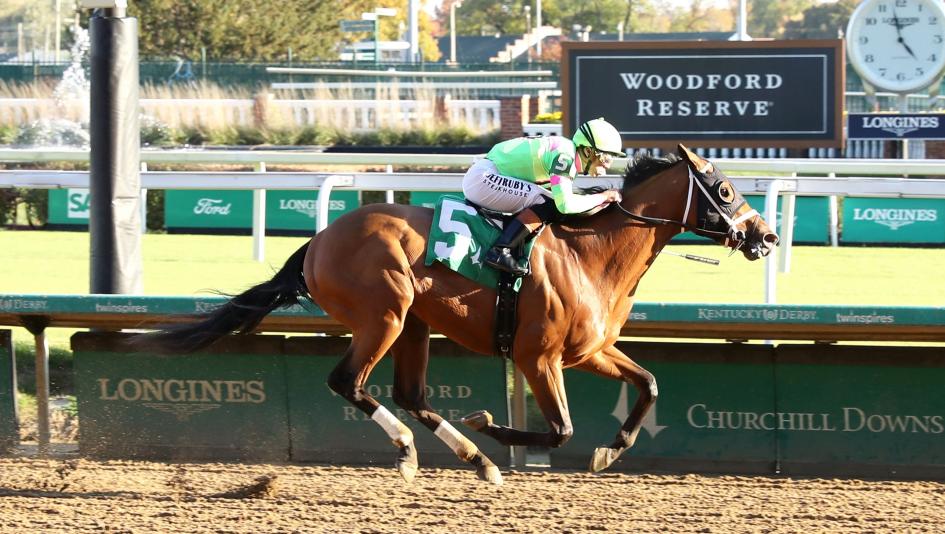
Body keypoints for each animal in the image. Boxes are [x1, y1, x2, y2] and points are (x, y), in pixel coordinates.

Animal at [135, 144, 779, 485]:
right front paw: (492, 425)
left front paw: (609, 449)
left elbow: (647, 384)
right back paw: (414, 451)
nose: (766, 236)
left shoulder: (589, 350)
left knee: (409, 393)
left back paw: (478, 462)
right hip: (384, 315)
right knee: (349, 381)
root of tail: (319, 240)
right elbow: (560, 428)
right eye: (723, 190)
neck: (589, 252)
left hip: (415, 323)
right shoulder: (537, 357)